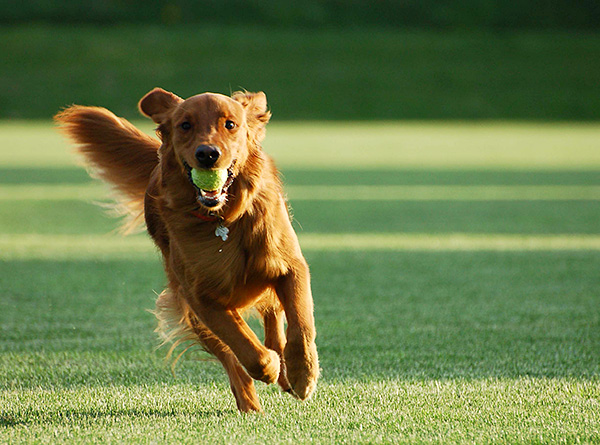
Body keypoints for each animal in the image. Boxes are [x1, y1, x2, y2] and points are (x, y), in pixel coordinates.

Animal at [55, 88, 318, 412]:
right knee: (231, 358)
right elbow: (244, 346)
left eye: (230, 124)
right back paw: (251, 402)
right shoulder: (200, 297)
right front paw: (269, 366)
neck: (224, 218)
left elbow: (300, 326)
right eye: (185, 125)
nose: (207, 154)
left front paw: (302, 374)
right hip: (187, 305)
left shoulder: (291, 267)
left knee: (273, 318)